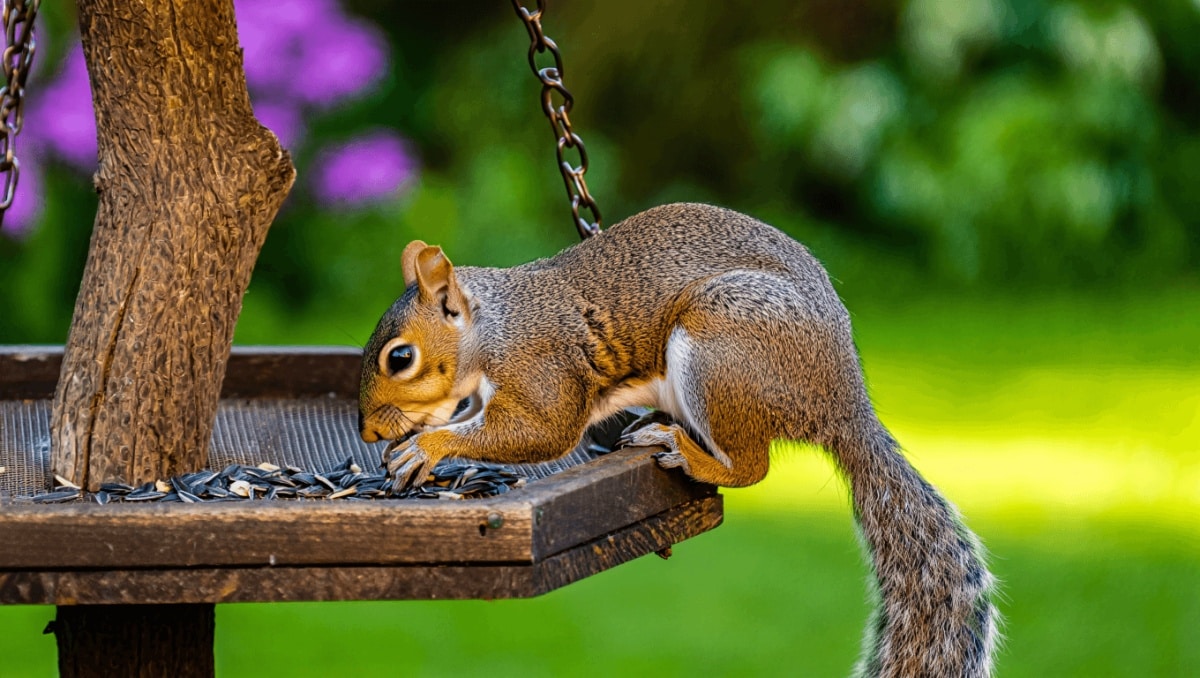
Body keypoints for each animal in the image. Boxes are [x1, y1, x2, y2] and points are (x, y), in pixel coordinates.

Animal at [359, 202, 998, 677]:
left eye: (400, 358)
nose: (367, 429)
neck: (491, 330)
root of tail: (842, 404)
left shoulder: (542, 369)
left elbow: (542, 431)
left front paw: (427, 447)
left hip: (720, 348)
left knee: (751, 466)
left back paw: (685, 450)